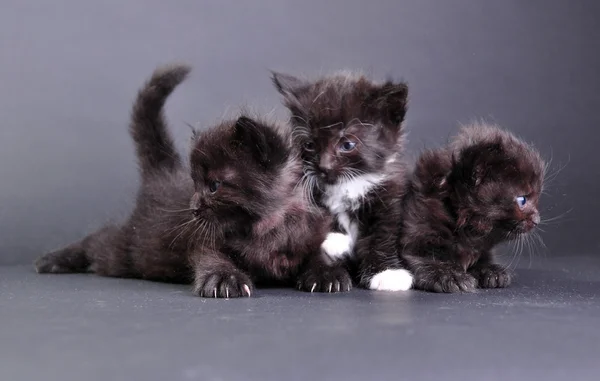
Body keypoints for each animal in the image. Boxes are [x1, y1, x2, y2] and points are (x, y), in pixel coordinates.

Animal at [34, 63, 352, 296]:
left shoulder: (311, 233)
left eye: (213, 186)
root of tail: (164, 173)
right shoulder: (203, 240)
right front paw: (224, 278)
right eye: (196, 184)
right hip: (131, 248)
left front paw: (327, 273)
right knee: (99, 240)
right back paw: (53, 260)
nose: (193, 207)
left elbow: (316, 253)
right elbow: (211, 256)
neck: (269, 226)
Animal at [272, 70, 412, 290]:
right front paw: (326, 273)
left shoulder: (389, 197)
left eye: (347, 145)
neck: (348, 186)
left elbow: (383, 235)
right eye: (310, 144)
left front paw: (387, 273)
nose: (324, 166)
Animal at [400, 123, 548, 292]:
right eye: (522, 200)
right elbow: (426, 261)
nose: (537, 219)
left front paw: (492, 271)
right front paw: (451, 275)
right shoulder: (415, 236)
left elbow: (483, 259)